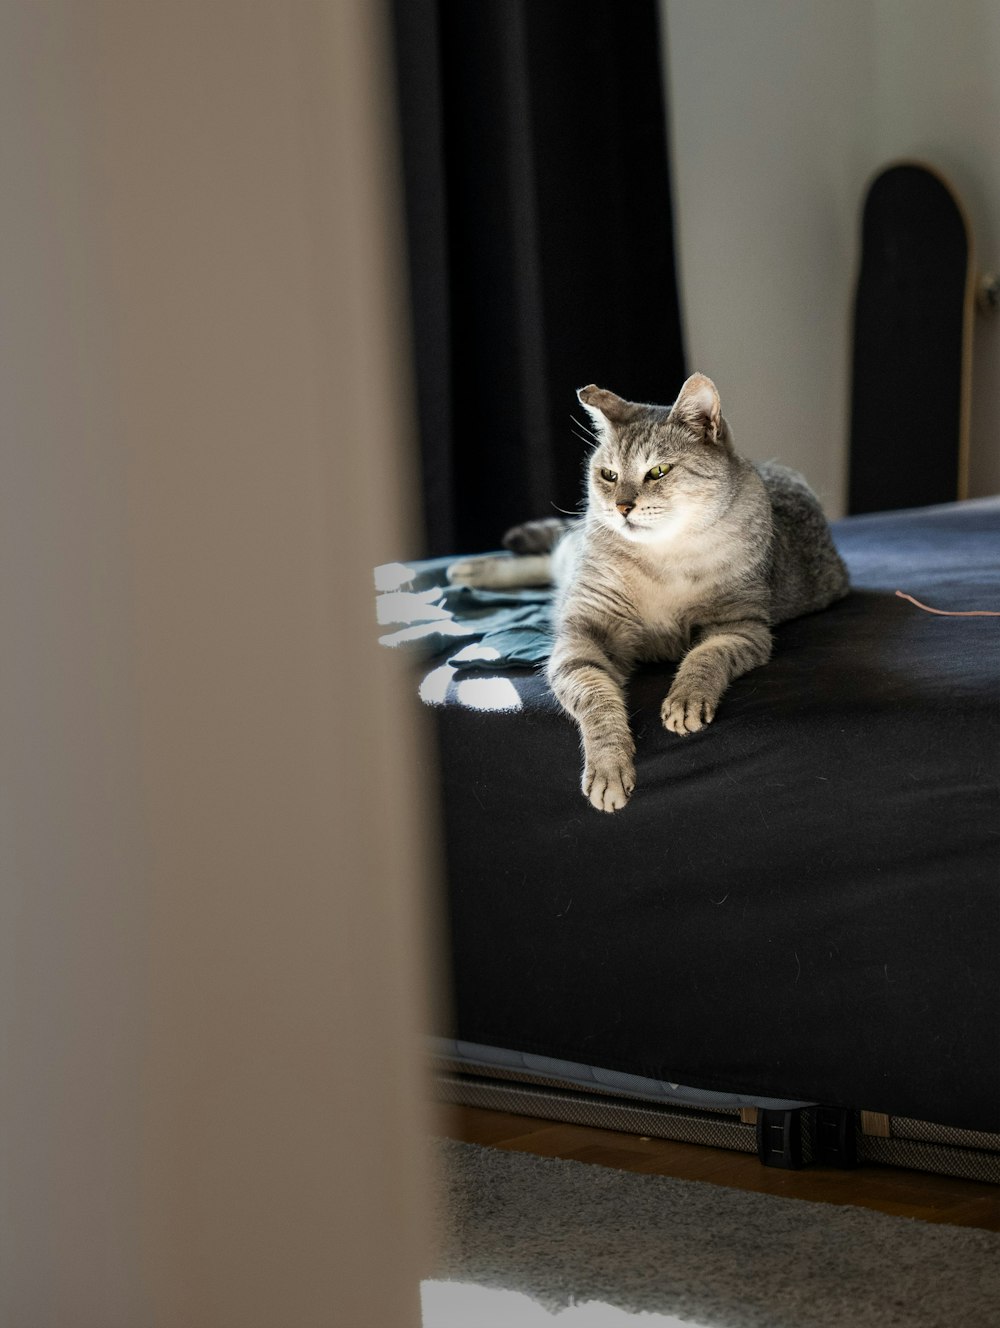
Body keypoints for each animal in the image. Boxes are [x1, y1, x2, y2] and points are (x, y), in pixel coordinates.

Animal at [448, 371, 844, 807]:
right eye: (608, 475)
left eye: (659, 471)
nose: (622, 507)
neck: (663, 558)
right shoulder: (582, 637)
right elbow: (596, 698)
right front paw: (609, 763)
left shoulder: (741, 627)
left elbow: (704, 657)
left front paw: (686, 698)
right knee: (550, 559)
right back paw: (471, 569)